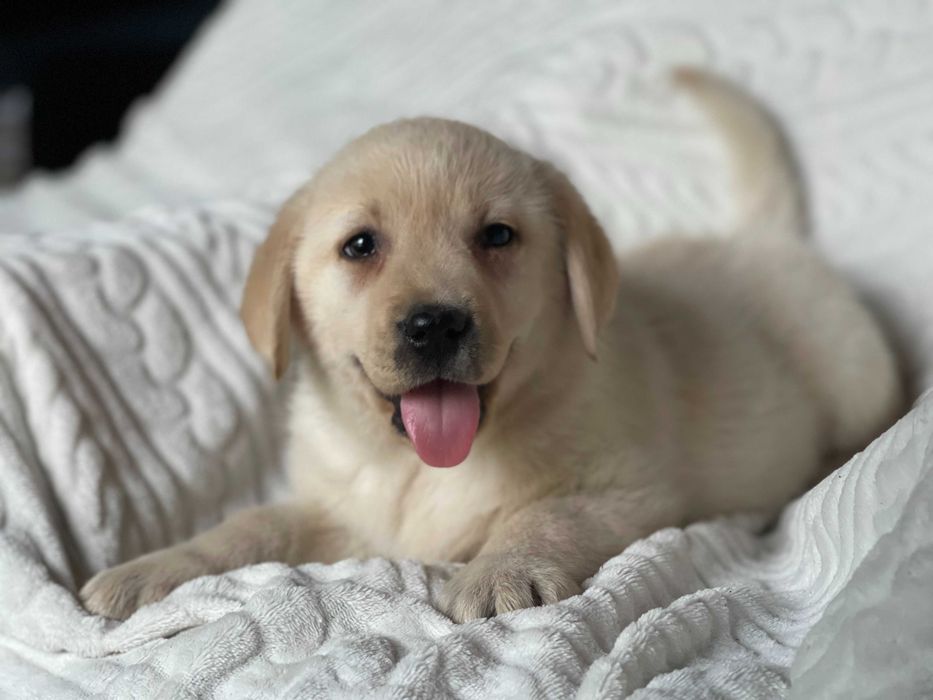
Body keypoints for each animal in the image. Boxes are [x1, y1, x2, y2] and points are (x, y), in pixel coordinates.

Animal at [82, 68, 904, 620]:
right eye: (360, 246)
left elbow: (542, 515)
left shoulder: (628, 489)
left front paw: (500, 571)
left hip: (855, 377)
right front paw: (155, 567)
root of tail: (766, 235)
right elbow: (252, 524)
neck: (422, 468)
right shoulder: (343, 513)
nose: (436, 324)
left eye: (497, 236)